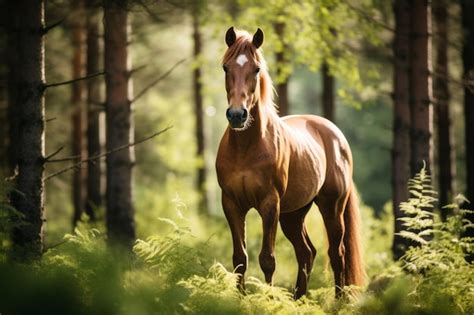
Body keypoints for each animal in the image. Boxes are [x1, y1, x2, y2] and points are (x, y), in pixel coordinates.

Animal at [217, 26, 364, 298]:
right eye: (225, 67)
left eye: (256, 69)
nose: (237, 115)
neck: (246, 148)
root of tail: (334, 134)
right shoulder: (232, 204)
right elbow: (240, 258)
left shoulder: (269, 205)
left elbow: (267, 259)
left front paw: (267, 299)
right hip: (293, 214)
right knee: (307, 253)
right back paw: (298, 299)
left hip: (331, 208)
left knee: (337, 254)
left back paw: (339, 300)